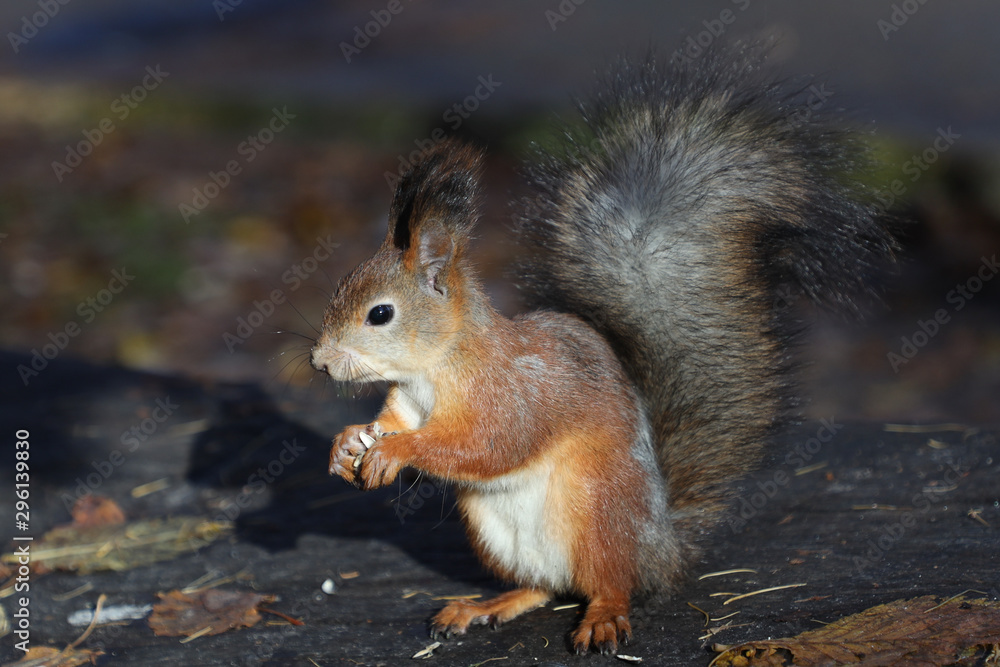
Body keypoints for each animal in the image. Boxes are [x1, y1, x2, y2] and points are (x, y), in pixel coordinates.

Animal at [310, 45, 897, 654]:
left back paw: (603, 618)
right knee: (544, 586)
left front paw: (395, 453)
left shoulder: (509, 395)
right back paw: (485, 605)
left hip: (597, 512)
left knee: (611, 582)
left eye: (380, 314)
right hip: (496, 533)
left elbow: (485, 444)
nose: (319, 362)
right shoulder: (407, 401)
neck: (434, 367)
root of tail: (662, 548)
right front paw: (347, 443)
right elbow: (393, 423)